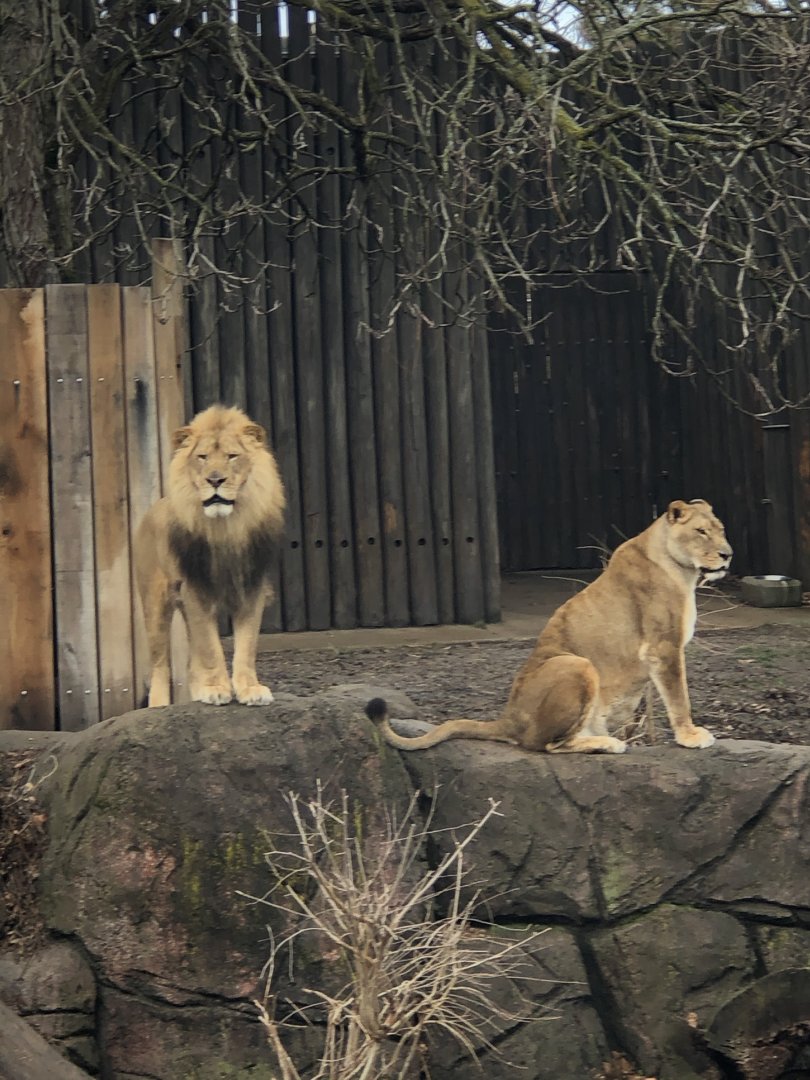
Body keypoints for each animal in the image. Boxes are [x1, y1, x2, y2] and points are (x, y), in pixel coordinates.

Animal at [134, 404, 285, 708]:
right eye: (202, 457)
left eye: (232, 456)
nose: (215, 480)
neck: (225, 528)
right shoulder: (195, 590)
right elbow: (211, 647)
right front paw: (216, 688)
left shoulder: (252, 589)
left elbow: (246, 646)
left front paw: (250, 689)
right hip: (155, 603)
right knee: (159, 665)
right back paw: (159, 705)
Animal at [366, 499, 732, 754]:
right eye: (701, 532)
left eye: (721, 529)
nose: (727, 555)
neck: (683, 570)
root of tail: (508, 718)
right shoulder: (663, 646)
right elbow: (679, 696)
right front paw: (690, 736)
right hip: (577, 664)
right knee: (547, 745)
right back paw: (606, 743)